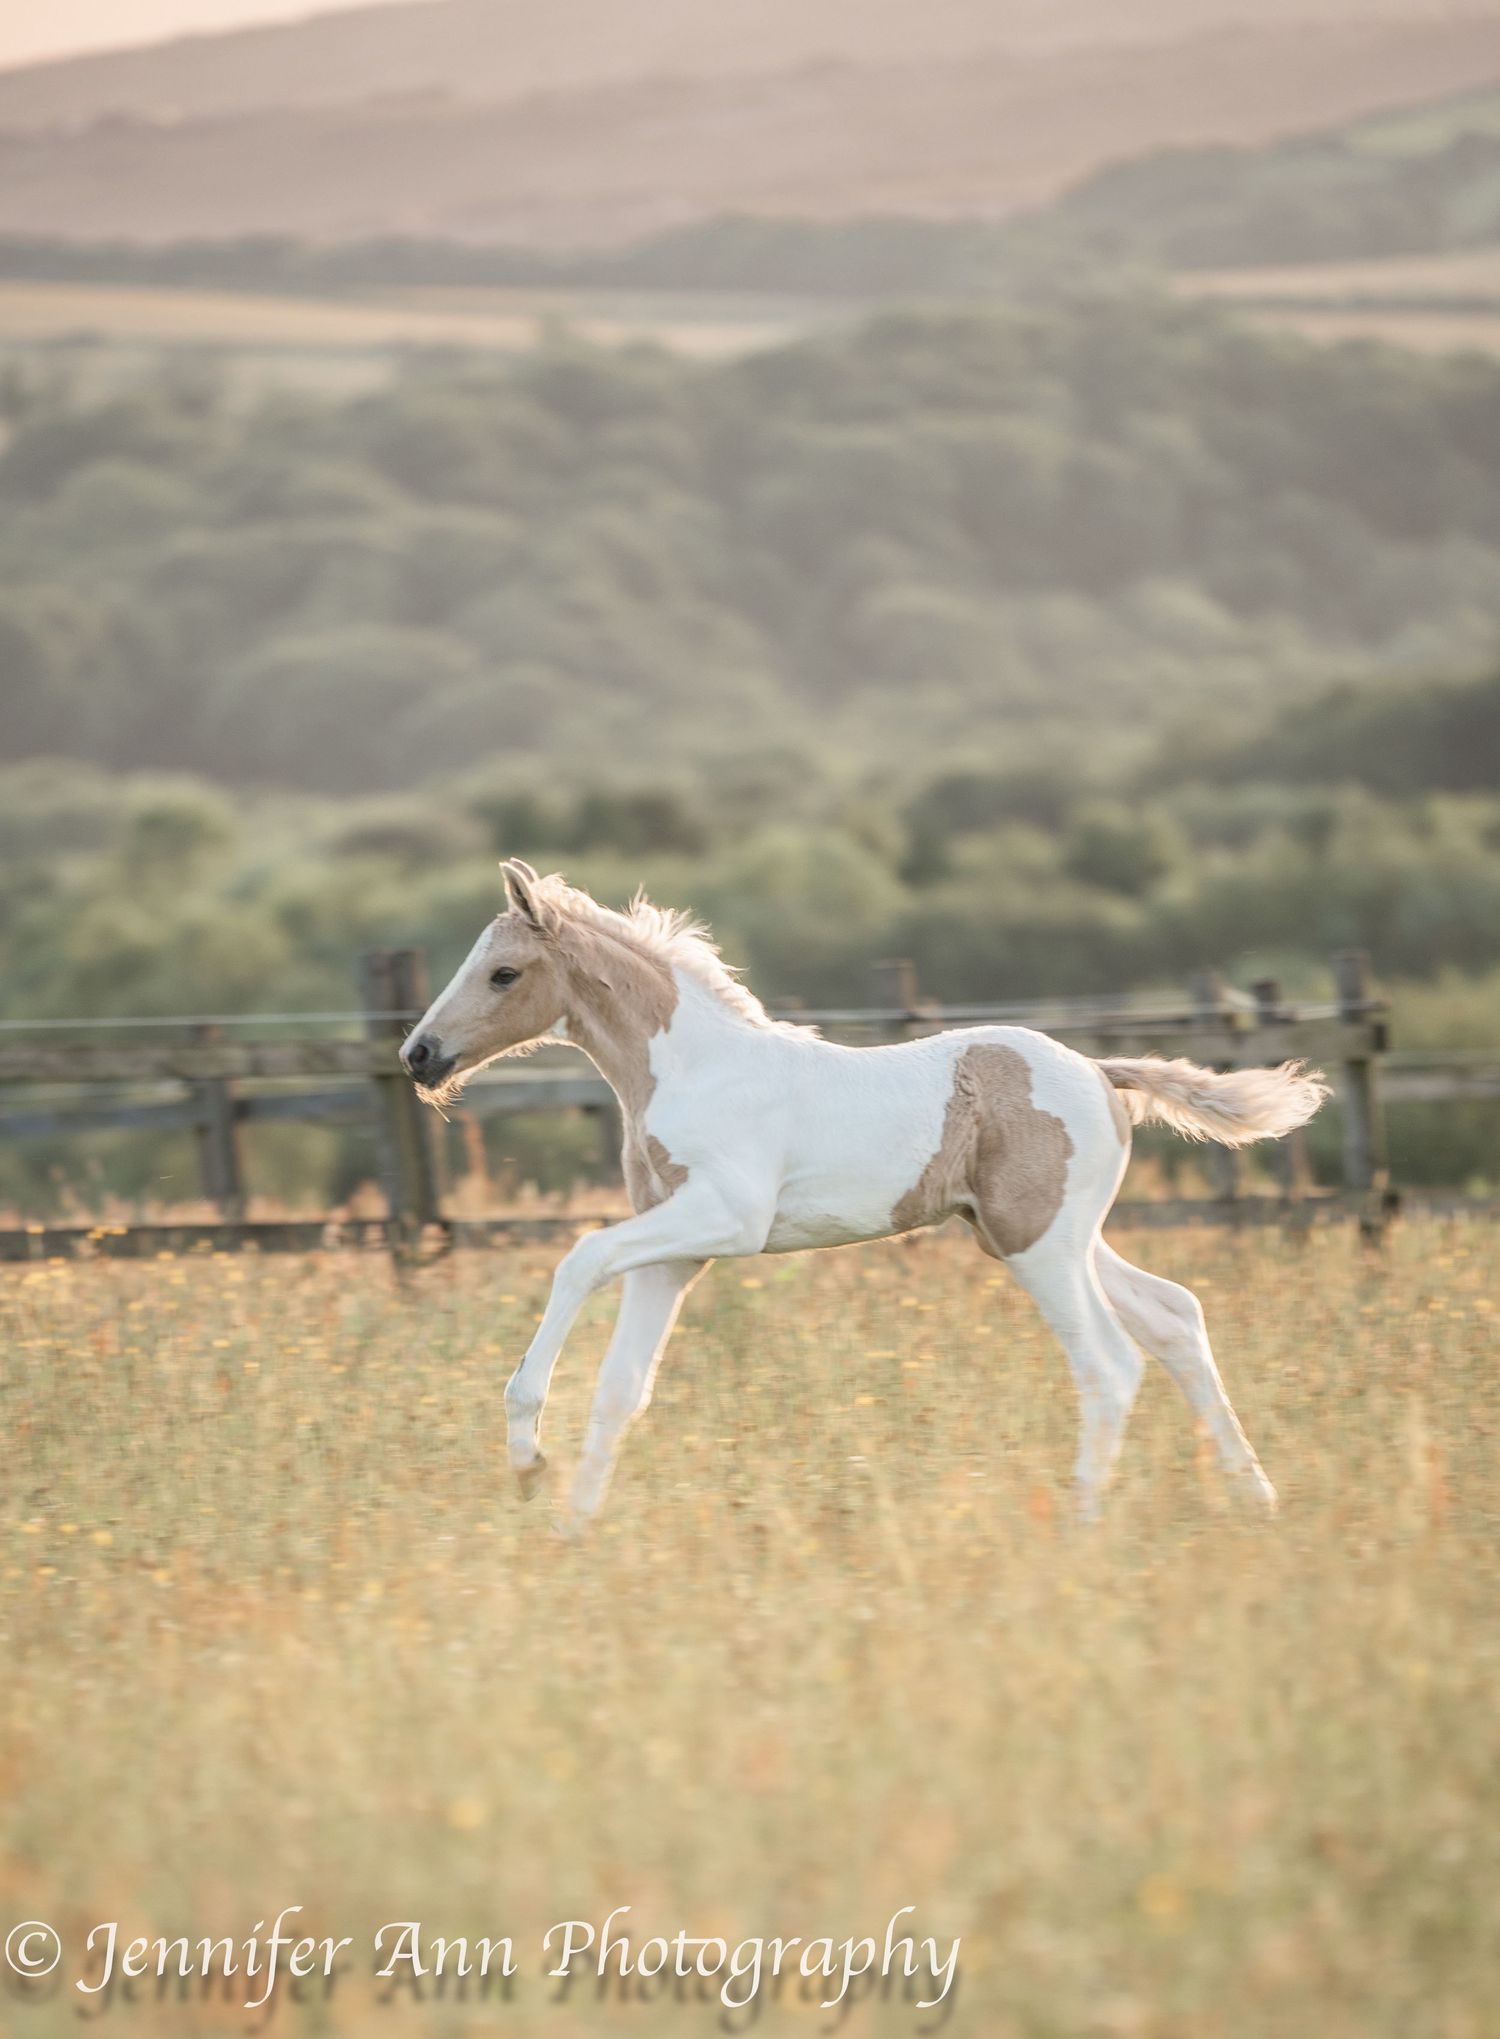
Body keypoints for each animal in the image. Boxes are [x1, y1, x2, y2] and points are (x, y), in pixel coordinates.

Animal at [401, 861, 1328, 1531]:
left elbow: (579, 1256)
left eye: (503, 972)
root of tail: (1102, 1071)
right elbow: (622, 1384)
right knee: (1175, 1317)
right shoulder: (676, 1250)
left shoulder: (726, 1220)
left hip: (1041, 1246)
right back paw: (1258, 1498)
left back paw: (1083, 1523)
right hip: (1049, 1234)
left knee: (1109, 1361)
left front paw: (526, 1456)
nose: (419, 1053)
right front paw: (573, 1526)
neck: (693, 1068)